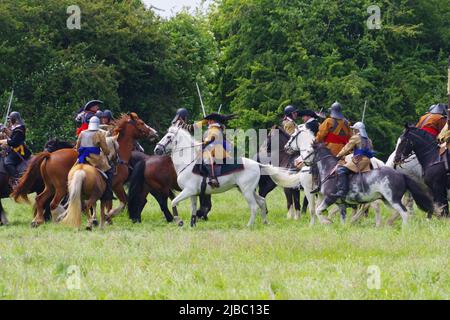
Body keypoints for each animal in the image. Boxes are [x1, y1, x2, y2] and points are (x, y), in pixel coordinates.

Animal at [153, 124, 304, 226]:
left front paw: (178, 221)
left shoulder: (188, 191)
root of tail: (257, 164)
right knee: (261, 201)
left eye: (169, 137)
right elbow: (193, 209)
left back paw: (249, 225)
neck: (189, 162)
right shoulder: (192, 193)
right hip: (247, 189)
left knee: (254, 206)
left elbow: (173, 202)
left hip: (246, 191)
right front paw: (192, 224)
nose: (157, 149)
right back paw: (264, 222)